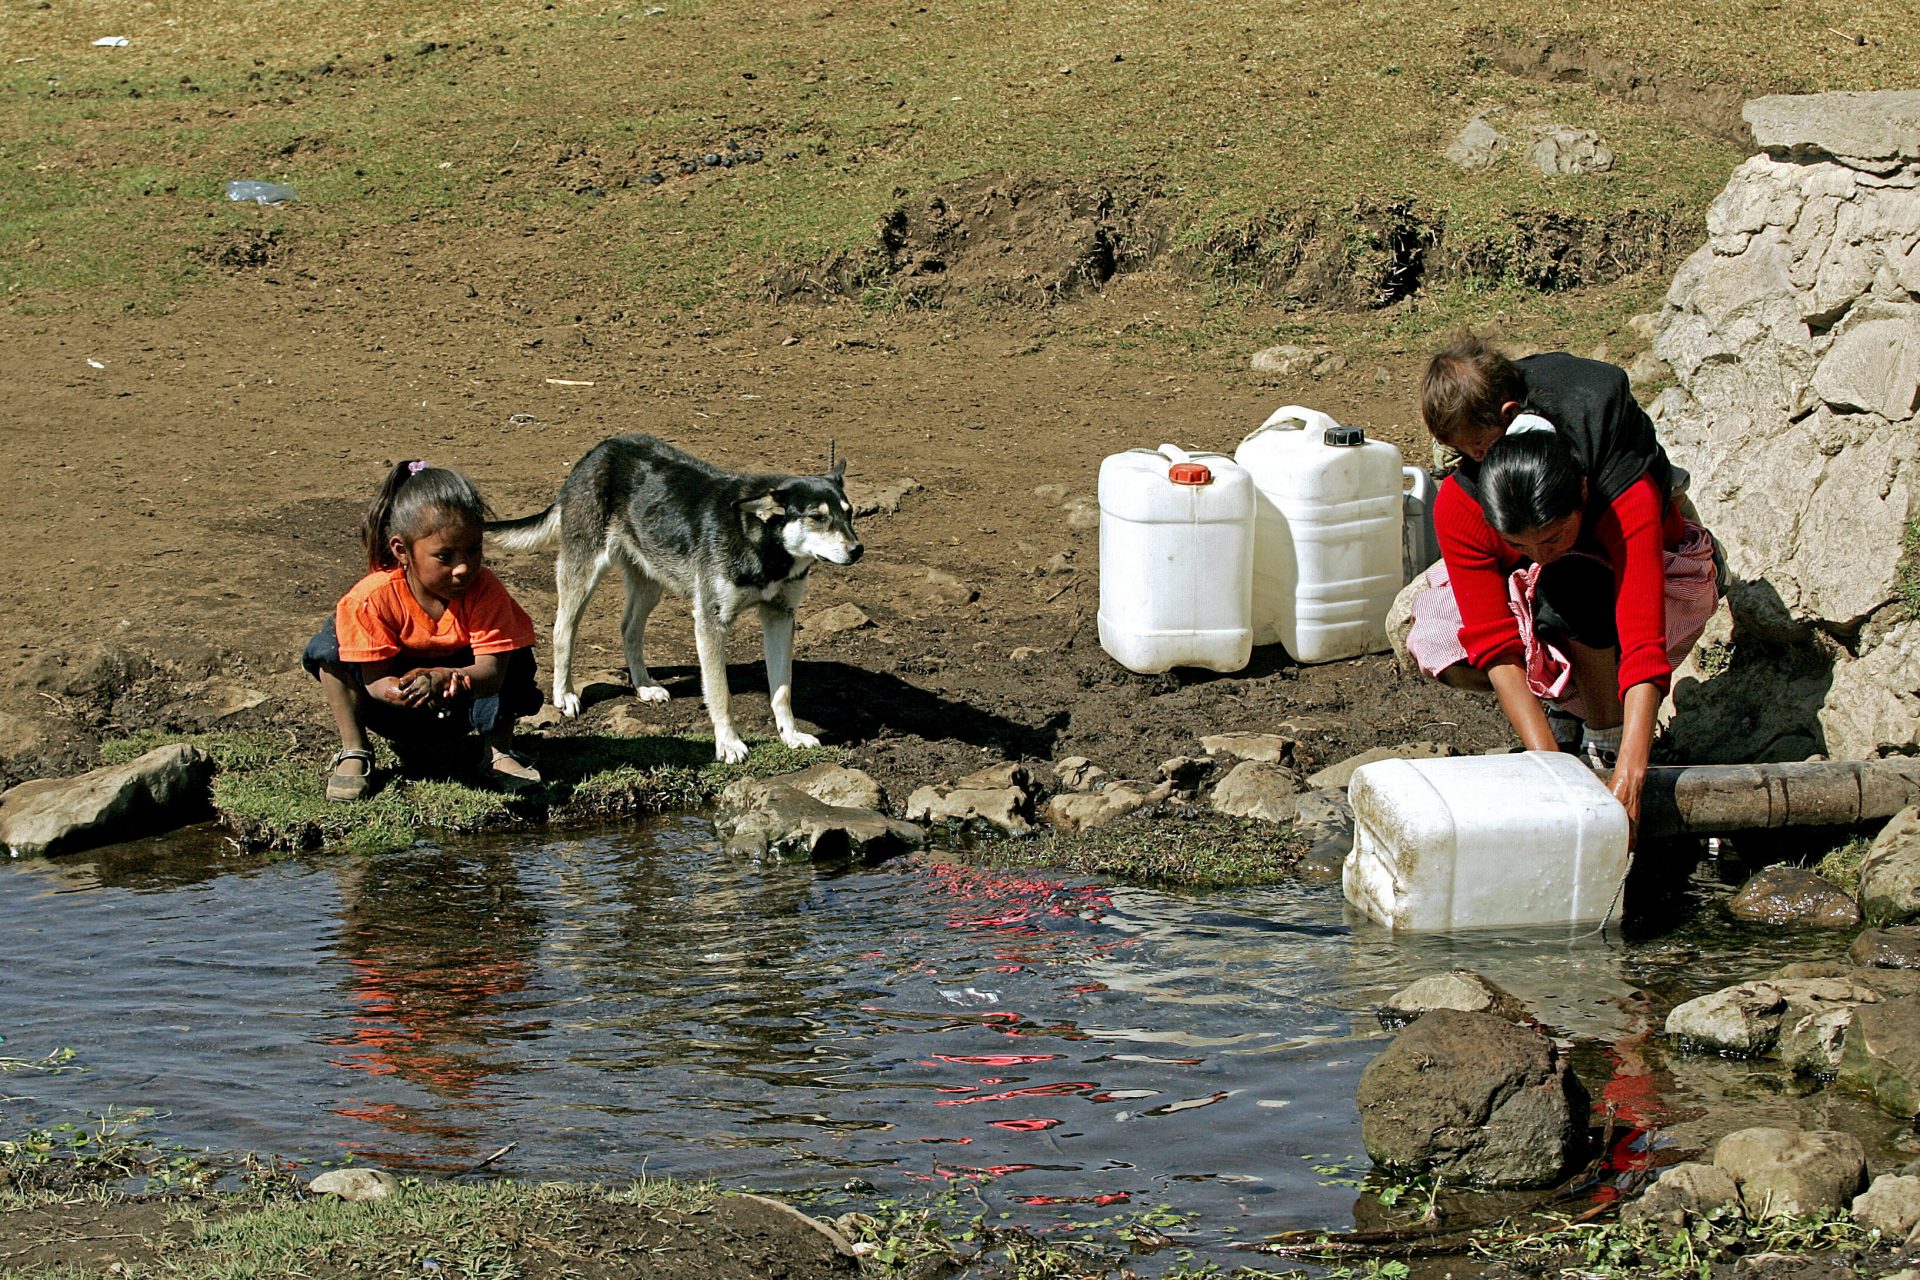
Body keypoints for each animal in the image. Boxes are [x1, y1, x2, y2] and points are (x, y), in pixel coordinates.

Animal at [487, 435, 864, 767]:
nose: (857, 549)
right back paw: (564, 694)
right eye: (817, 517)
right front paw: (729, 744)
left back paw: (644, 687)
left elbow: (782, 691)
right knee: (563, 630)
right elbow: (721, 695)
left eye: (850, 514)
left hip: (650, 581)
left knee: (628, 629)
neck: (763, 546)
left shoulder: (780, 617)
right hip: (584, 576)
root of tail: (598, 452)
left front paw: (791, 736)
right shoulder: (711, 622)